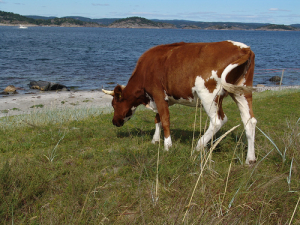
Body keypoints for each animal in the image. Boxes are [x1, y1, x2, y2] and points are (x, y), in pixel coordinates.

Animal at [103, 40, 258, 163]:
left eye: (114, 104)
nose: (114, 121)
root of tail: (244, 48)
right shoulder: (163, 99)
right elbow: (158, 118)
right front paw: (155, 140)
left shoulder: (158, 94)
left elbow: (165, 119)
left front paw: (167, 146)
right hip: (242, 92)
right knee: (249, 121)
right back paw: (250, 159)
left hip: (208, 94)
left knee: (218, 120)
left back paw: (198, 146)